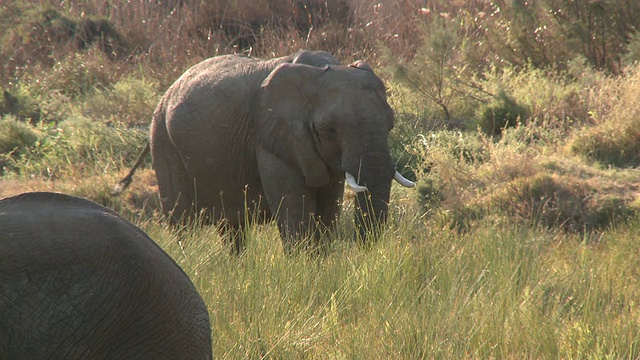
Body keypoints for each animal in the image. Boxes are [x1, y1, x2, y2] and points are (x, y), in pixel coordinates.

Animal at [114, 50, 416, 253]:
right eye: (330, 129)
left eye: (390, 125)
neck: (318, 72)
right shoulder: (273, 136)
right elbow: (294, 207)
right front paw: (306, 269)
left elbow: (328, 207)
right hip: (164, 143)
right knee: (182, 223)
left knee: (231, 228)